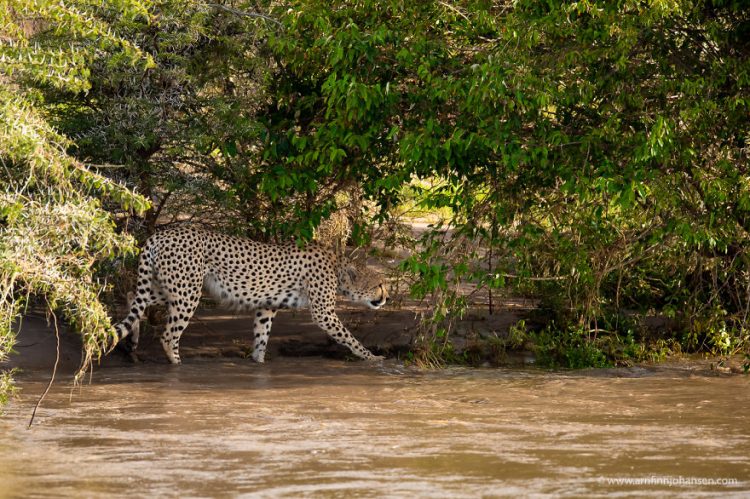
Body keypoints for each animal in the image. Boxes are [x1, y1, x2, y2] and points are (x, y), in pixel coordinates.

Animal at [114, 227, 390, 364]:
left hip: (172, 286)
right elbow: (350, 338)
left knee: (133, 296)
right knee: (168, 334)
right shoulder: (324, 313)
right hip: (188, 291)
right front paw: (372, 357)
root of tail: (160, 234)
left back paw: (133, 342)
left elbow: (261, 336)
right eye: (380, 284)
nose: (386, 297)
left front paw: (258, 363)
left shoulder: (267, 306)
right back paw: (176, 362)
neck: (337, 267)